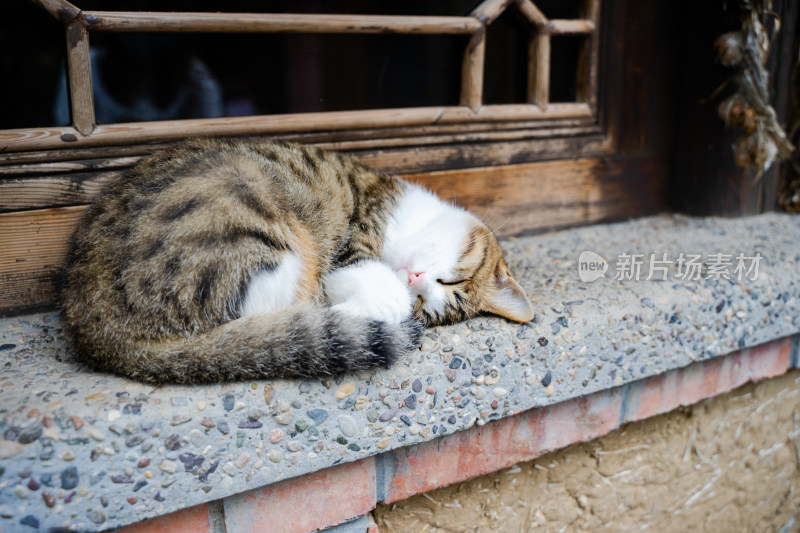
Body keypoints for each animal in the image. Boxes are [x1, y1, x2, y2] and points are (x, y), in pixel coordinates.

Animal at [62, 137, 532, 382]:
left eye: (432, 304)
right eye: (451, 283)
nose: (415, 279)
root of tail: (93, 326)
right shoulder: (357, 241)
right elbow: (367, 279)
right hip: (250, 221)